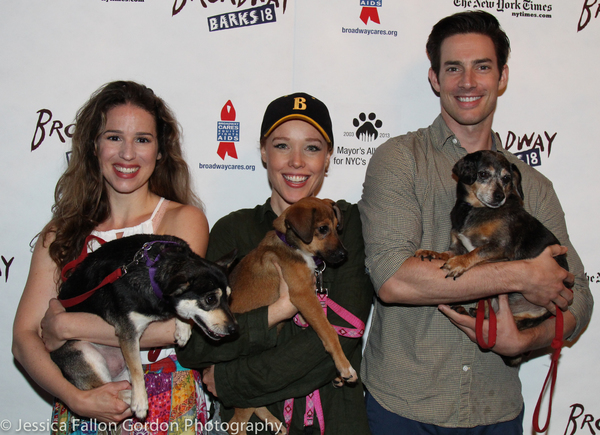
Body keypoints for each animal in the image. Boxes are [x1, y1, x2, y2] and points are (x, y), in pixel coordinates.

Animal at [49, 235, 237, 422]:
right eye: (210, 299)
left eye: (229, 297)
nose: (235, 328)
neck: (154, 268)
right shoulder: (128, 333)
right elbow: (137, 370)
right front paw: (140, 401)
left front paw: (183, 328)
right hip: (85, 352)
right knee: (100, 391)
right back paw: (130, 397)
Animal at [227, 198, 354, 435]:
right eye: (323, 229)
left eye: (336, 226)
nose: (344, 255)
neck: (293, 245)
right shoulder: (302, 294)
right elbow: (329, 331)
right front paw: (345, 367)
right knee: (234, 425)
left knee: (256, 405)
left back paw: (277, 425)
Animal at [414, 152, 568, 366]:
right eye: (484, 174)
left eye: (507, 178)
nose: (499, 196)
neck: (475, 209)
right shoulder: (456, 245)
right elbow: (446, 253)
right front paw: (431, 253)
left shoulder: (501, 248)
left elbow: (476, 252)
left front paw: (458, 264)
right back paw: (467, 312)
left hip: (535, 313)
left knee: (515, 323)